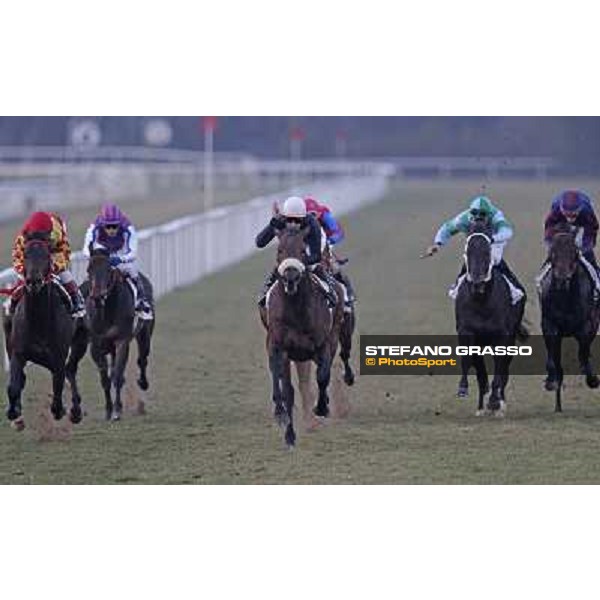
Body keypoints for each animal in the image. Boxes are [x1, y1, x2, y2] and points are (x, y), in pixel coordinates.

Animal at [3, 237, 86, 428]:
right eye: (25, 254)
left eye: (46, 256)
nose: (34, 280)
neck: (38, 320)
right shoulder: (18, 352)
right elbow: (13, 386)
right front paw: (14, 413)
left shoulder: (58, 356)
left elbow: (58, 386)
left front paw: (60, 410)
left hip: (80, 342)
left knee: (70, 370)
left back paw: (76, 410)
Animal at [85, 248, 155, 422]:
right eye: (89, 269)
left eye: (108, 269)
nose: (97, 296)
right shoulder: (96, 345)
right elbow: (105, 379)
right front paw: (109, 410)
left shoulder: (122, 341)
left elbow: (116, 375)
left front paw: (116, 410)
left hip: (145, 334)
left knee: (142, 359)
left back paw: (143, 382)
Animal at [262, 225, 342, 446]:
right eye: (279, 250)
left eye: (302, 251)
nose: (290, 277)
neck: (295, 309)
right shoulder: (277, 346)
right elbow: (282, 385)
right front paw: (281, 415)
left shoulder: (323, 345)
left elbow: (322, 376)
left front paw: (322, 407)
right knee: (289, 389)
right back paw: (290, 435)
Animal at [454, 221, 524, 418]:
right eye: (468, 250)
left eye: (487, 250)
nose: (478, 283)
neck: (481, 301)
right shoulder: (468, 332)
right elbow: (476, 369)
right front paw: (466, 391)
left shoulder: (502, 336)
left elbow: (499, 370)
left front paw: (494, 402)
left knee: (504, 369)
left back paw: (500, 404)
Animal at [536, 225, 596, 412]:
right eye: (553, 253)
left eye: (574, 252)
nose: (562, 279)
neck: (565, 297)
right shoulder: (550, 326)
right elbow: (554, 363)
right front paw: (551, 382)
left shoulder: (586, 327)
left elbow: (583, 353)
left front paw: (592, 378)